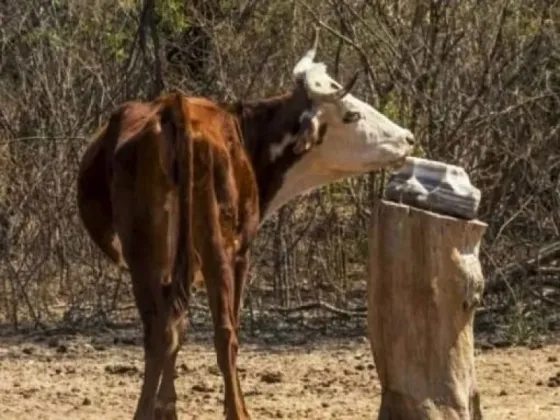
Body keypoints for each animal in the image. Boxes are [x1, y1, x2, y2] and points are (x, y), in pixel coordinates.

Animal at [76, 30, 414, 420]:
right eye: (351, 114)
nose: (407, 138)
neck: (246, 135)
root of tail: (176, 108)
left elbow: (178, 327)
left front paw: (167, 407)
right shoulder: (241, 253)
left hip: (144, 253)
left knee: (158, 330)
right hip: (217, 248)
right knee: (223, 333)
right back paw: (238, 411)